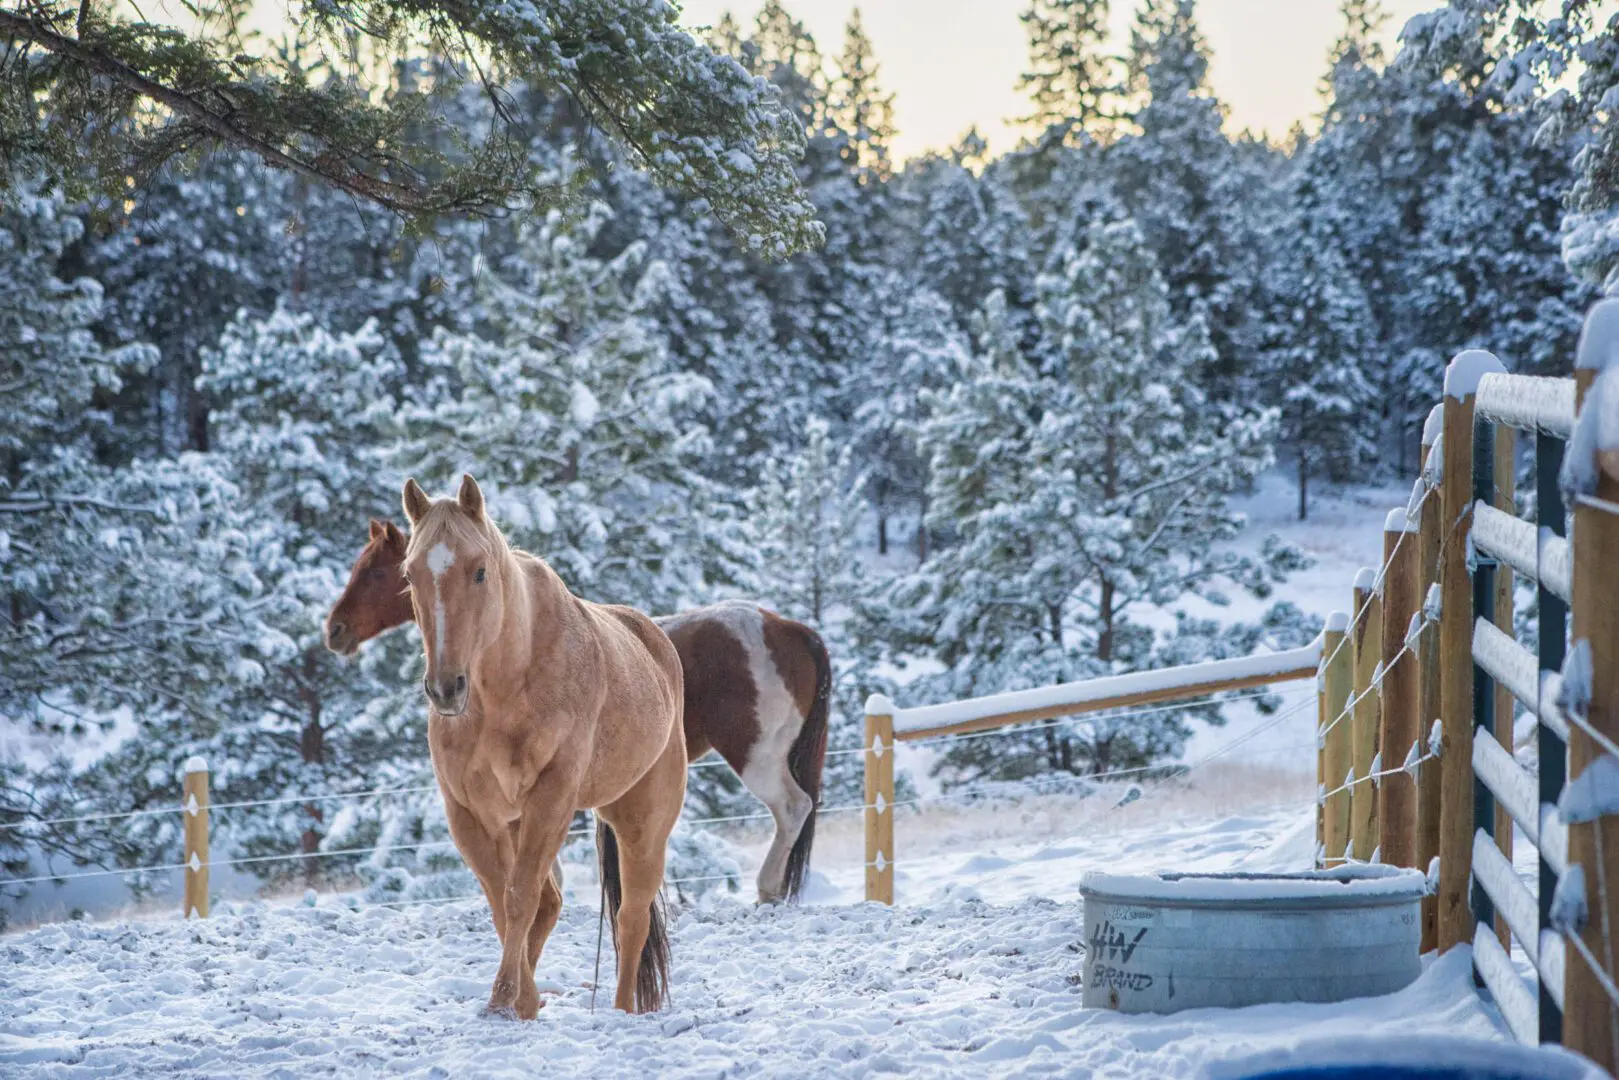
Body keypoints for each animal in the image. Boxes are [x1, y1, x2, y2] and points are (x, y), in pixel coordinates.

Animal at [328, 524, 835, 906]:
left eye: (378, 572)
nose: (335, 629)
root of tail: (789, 629)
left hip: (757, 756)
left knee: (793, 808)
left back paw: (767, 890)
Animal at [404, 476, 689, 1016]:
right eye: (410, 575)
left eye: (479, 571)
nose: (445, 688)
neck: (507, 688)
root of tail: (658, 647)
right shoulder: (469, 812)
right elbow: (504, 899)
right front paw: (523, 1001)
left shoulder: (551, 797)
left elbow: (521, 895)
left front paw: (504, 998)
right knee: (556, 903)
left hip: (641, 824)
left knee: (632, 918)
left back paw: (622, 1009)